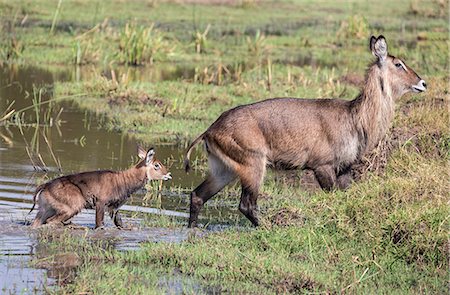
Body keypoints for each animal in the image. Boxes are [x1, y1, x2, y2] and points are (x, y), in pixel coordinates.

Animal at [29, 147, 171, 229]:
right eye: (157, 165)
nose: (168, 175)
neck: (124, 180)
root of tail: (46, 185)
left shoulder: (114, 208)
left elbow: (120, 224)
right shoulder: (101, 203)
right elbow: (99, 225)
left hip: (45, 210)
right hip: (72, 207)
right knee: (51, 222)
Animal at [185, 35, 428, 228]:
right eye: (398, 64)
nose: (423, 83)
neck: (355, 117)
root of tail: (211, 129)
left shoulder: (344, 168)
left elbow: (345, 197)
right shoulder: (322, 167)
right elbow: (333, 198)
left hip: (224, 169)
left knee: (197, 195)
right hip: (253, 164)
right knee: (246, 204)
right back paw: (269, 228)